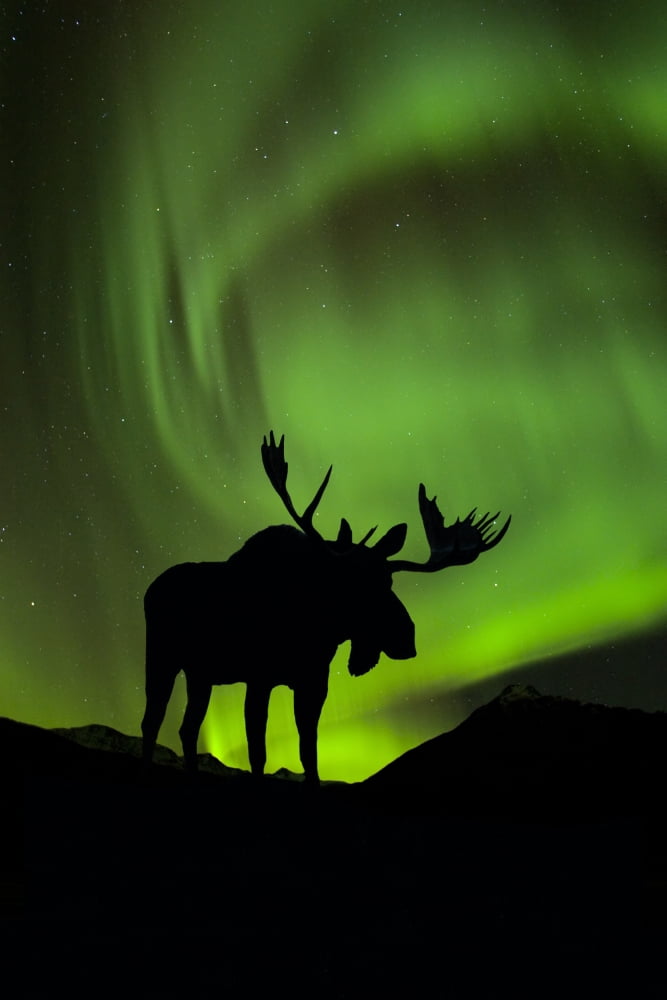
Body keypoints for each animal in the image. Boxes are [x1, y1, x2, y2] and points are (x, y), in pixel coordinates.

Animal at [141, 432, 510, 784]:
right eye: (356, 582)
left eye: (389, 581)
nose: (407, 636)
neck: (319, 624)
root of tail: (150, 589)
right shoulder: (259, 679)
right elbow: (258, 754)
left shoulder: (315, 683)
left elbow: (310, 754)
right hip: (162, 661)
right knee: (151, 721)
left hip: (200, 675)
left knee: (188, 728)